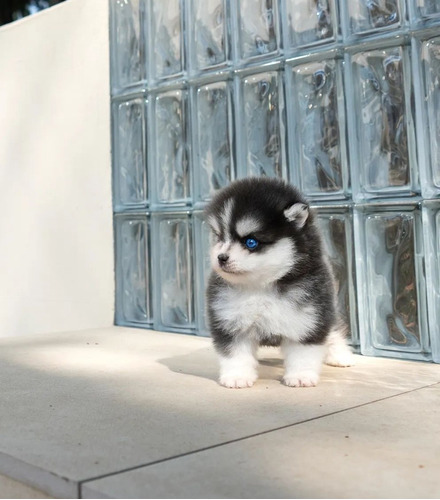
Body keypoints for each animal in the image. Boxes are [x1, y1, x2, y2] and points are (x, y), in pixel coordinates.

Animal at [205, 178, 352, 388]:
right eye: (219, 237)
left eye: (251, 242)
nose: (221, 257)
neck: (261, 287)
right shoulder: (231, 321)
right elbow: (235, 354)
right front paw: (237, 376)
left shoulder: (307, 318)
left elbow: (303, 353)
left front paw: (301, 376)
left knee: (333, 330)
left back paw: (340, 355)